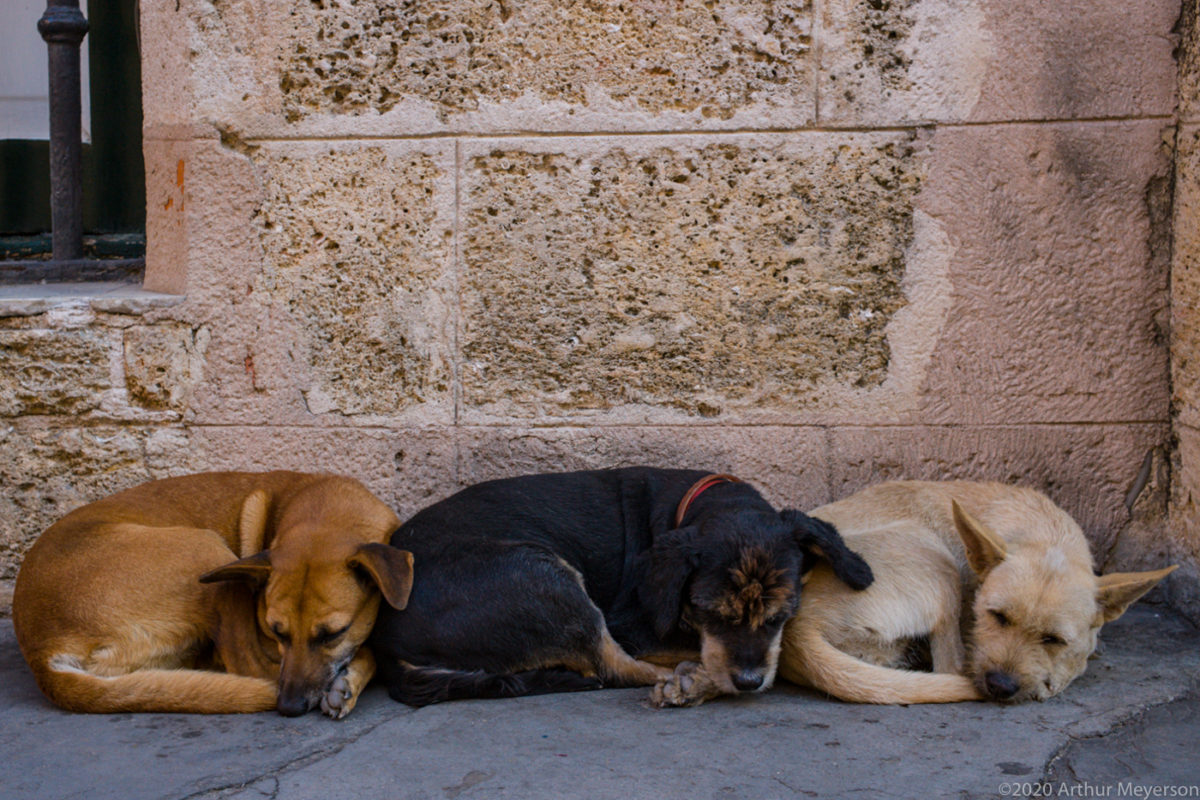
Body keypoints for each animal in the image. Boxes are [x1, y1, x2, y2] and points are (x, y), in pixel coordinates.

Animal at [10, 472, 417, 714]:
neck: (327, 507)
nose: (288, 706)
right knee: (245, 663)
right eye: (276, 631)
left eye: (333, 634)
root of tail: (41, 651)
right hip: (207, 554)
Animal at [367, 470, 873, 705]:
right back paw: (691, 682)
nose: (748, 682)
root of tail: (386, 638)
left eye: (782, 615)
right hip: (545, 577)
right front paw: (700, 674)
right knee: (612, 668)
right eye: (709, 613)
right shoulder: (636, 627)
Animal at [777, 482, 1180, 700]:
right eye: (996, 616)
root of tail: (796, 630)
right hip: (933, 556)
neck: (1047, 533)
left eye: (1053, 639)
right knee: (951, 667)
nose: (1000, 686)